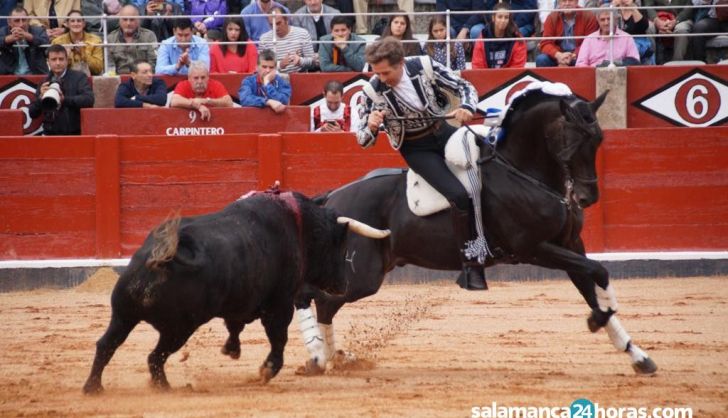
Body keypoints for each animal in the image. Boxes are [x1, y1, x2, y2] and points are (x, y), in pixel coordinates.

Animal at [82, 190, 390, 396]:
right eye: (338, 244)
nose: (343, 285)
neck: (298, 226)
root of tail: (161, 259)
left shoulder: (241, 300)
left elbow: (235, 325)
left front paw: (231, 349)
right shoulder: (279, 304)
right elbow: (278, 338)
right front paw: (267, 370)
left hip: (123, 316)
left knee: (106, 345)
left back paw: (93, 387)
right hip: (178, 328)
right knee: (154, 357)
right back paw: (164, 387)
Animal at [235, 88, 660, 376]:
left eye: (599, 138)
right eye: (572, 139)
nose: (587, 196)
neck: (524, 171)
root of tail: (331, 200)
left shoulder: (571, 244)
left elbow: (592, 281)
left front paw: (635, 353)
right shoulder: (535, 248)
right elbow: (599, 273)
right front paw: (600, 321)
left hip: (363, 274)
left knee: (321, 302)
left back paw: (326, 358)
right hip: (361, 276)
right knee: (312, 297)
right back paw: (316, 356)